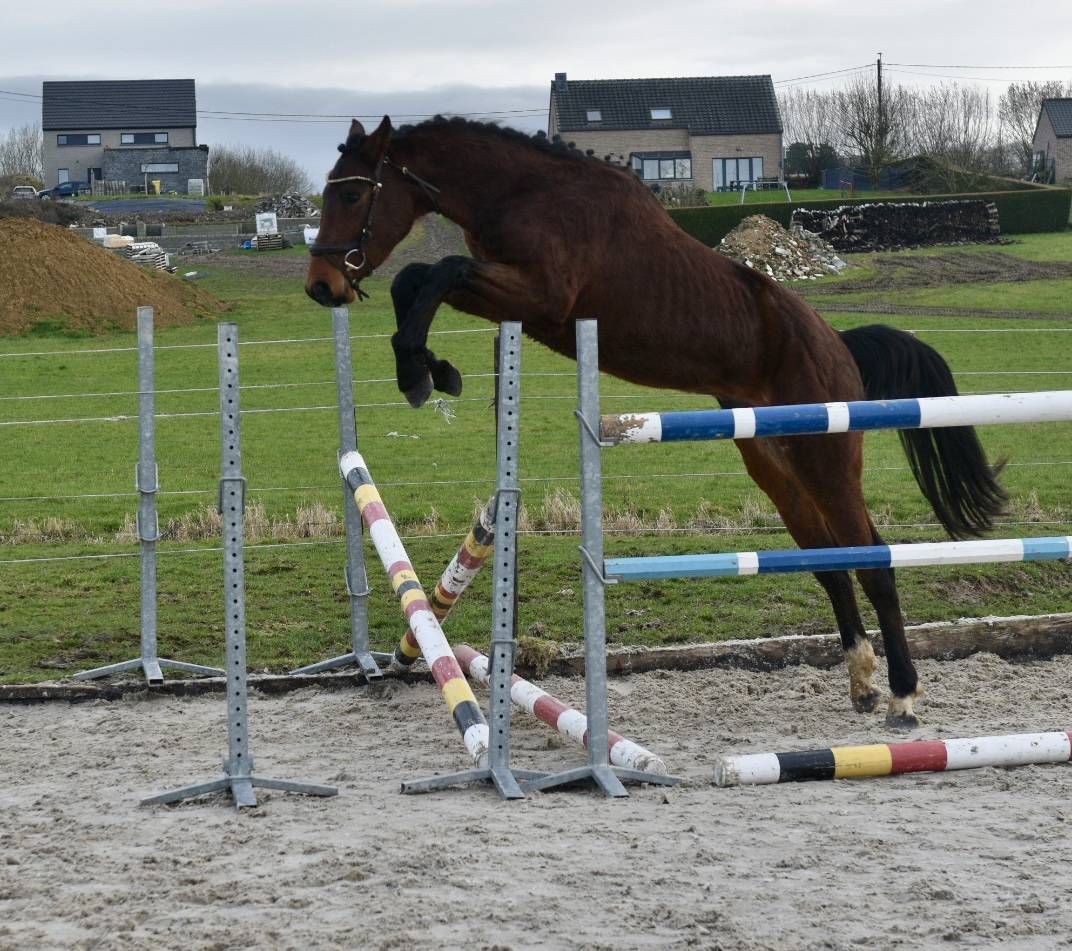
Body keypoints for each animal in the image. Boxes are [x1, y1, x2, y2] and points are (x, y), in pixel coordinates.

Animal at [306, 115, 1007, 728]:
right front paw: (429, 368)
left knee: (874, 562)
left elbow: (437, 271)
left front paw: (420, 372)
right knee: (833, 564)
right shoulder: (516, 301)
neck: (526, 193)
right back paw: (861, 684)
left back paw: (902, 697)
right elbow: (418, 281)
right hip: (776, 466)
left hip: (826, 458)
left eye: (352, 193)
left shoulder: (540, 297)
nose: (320, 287)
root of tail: (837, 343)